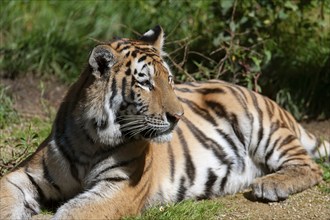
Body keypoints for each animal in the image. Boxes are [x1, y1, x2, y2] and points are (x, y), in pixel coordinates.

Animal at [0, 24, 328, 219]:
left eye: (169, 80)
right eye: (145, 83)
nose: (178, 116)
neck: (89, 140)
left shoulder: (119, 188)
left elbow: (72, 213)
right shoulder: (23, 176)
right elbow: (7, 199)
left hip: (263, 128)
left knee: (310, 166)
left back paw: (270, 186)